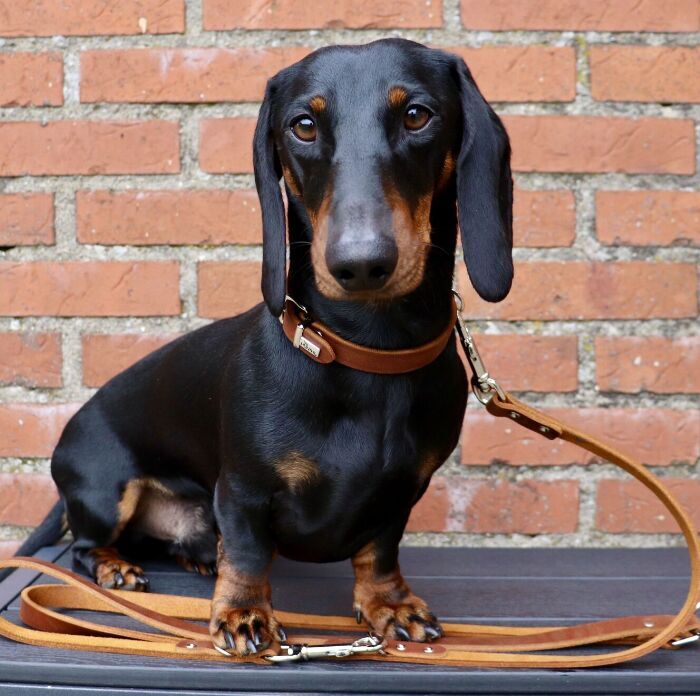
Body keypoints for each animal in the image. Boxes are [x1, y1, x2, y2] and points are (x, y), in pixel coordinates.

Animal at [13, 38, 513, 656]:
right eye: (303, 125)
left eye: (417, 115)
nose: (361, 262)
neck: (365, 352)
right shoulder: (243, 492)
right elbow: (249, 552)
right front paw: (244, 613)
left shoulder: (401, 495)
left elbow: (378, 552)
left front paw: (389, 604)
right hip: (106, 489)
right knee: (85, 546)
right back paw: (116, 567)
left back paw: (200, 556)